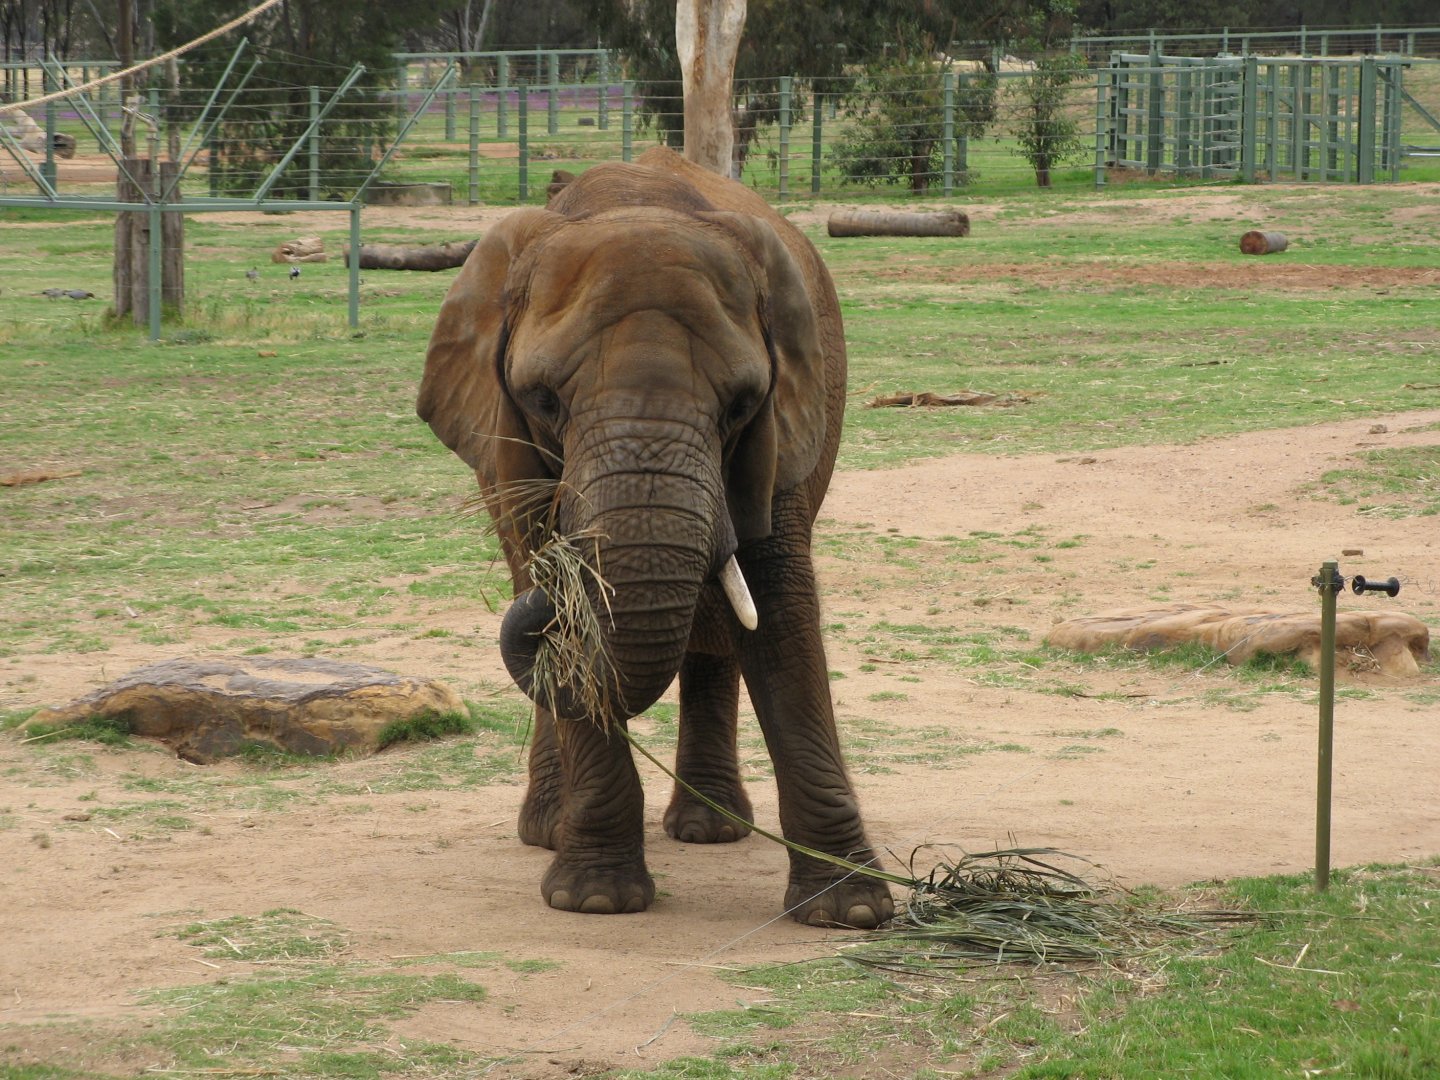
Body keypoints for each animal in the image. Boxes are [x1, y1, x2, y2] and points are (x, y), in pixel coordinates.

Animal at [417, 145, 893, 928]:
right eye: (544, 399)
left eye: (742, 404)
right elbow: (573, 619)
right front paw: (594, 900)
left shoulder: (786, 426)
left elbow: (777, 605)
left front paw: (850, 911)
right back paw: (548, 829)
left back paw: (710, 830)